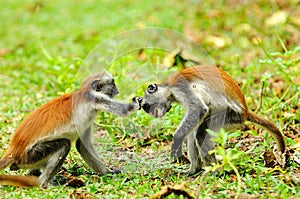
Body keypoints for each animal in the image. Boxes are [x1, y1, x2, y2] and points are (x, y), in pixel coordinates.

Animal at [0, 72, 142, 188]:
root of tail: (14, 149)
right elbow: (125, 110)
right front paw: (137, 102)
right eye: (112, 82)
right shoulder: (95, 98)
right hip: (30, 155)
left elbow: (82, 145)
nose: (117, 89)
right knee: (64, 144)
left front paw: (108, 173)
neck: (84, 92)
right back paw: (43, 183)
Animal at [142, 65, 288, 176]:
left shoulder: (179, 86)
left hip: (230, 115)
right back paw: (194, 170)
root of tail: (245, 111)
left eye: (147, 107)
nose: (155, 114)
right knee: (195, 132)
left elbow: (199, 108)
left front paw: (176, 141)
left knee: (201, 133)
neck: (168, 87)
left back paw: (213, 172)